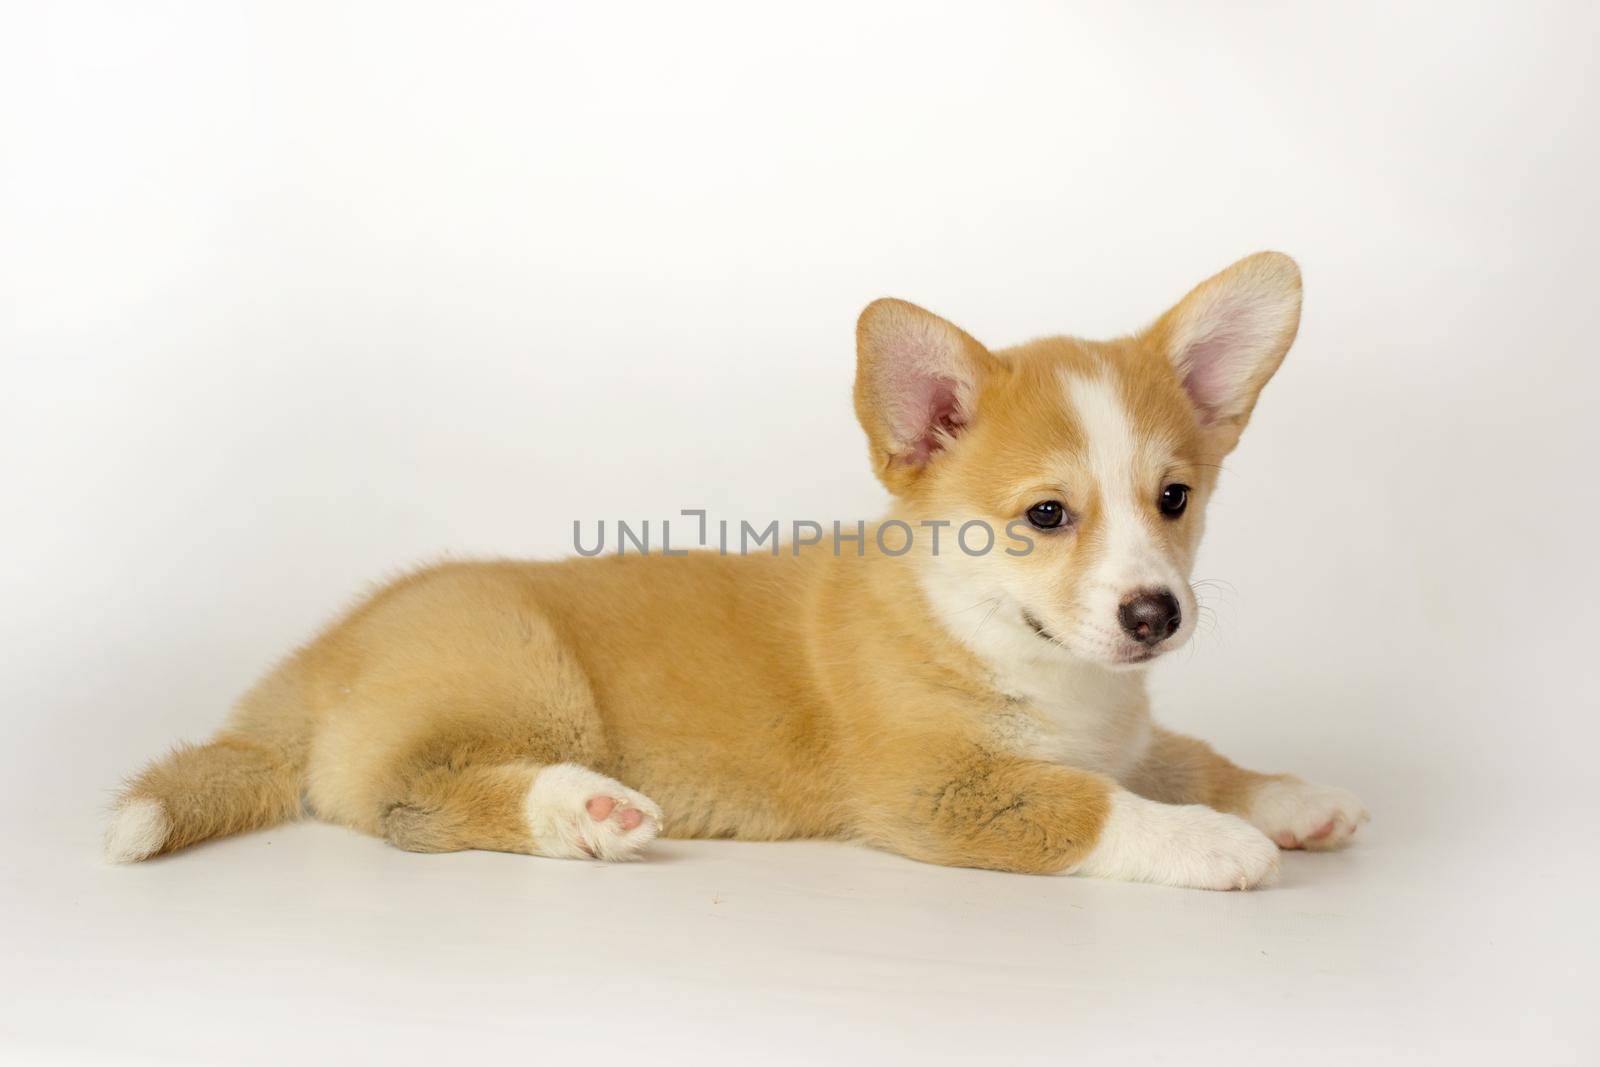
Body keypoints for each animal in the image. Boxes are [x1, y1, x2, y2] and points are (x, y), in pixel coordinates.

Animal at [109, 252, 1363, 895]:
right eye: (1045, 515)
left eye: (1174, 498)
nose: (1155, 613)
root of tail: (315, 656)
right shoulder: (941, 789)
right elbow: (1093, 805)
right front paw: (1219, 844)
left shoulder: (1122, 730)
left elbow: (1184, 757)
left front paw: (1292, 798)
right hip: (523, 673)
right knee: (412, 796)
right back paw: (587, 810)